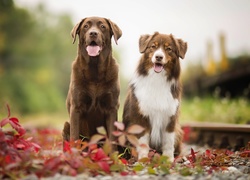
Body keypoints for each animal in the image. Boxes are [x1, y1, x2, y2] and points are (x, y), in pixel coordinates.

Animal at [122, 31, 187, 161]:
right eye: (153, 46)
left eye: (168, 49)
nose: (158, 57)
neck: (157, 79)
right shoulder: (141, 117)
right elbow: (143, 142)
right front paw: (143, 159)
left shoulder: (170, 118)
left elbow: (168, 142)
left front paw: (168, 160)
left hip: (178, 130)